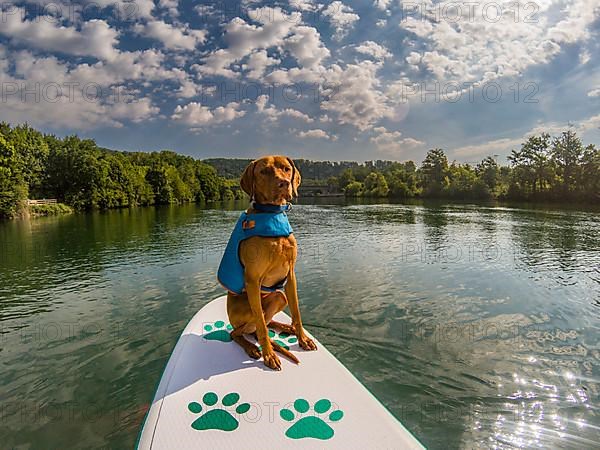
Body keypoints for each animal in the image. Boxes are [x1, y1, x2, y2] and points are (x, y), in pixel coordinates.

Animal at [226, 156, 318, 370]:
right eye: (264, 171)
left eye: (286, 169)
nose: (283, 183)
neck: (272, 214)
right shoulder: (252, 280)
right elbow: (260, 324)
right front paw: (269, 355)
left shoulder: (290, 275)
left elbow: (297, 313)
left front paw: (302, 338)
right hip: (246, 313)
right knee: (239, 332)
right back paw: (252, 347)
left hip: (279, 297)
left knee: (267, 323)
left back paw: (285, 327)